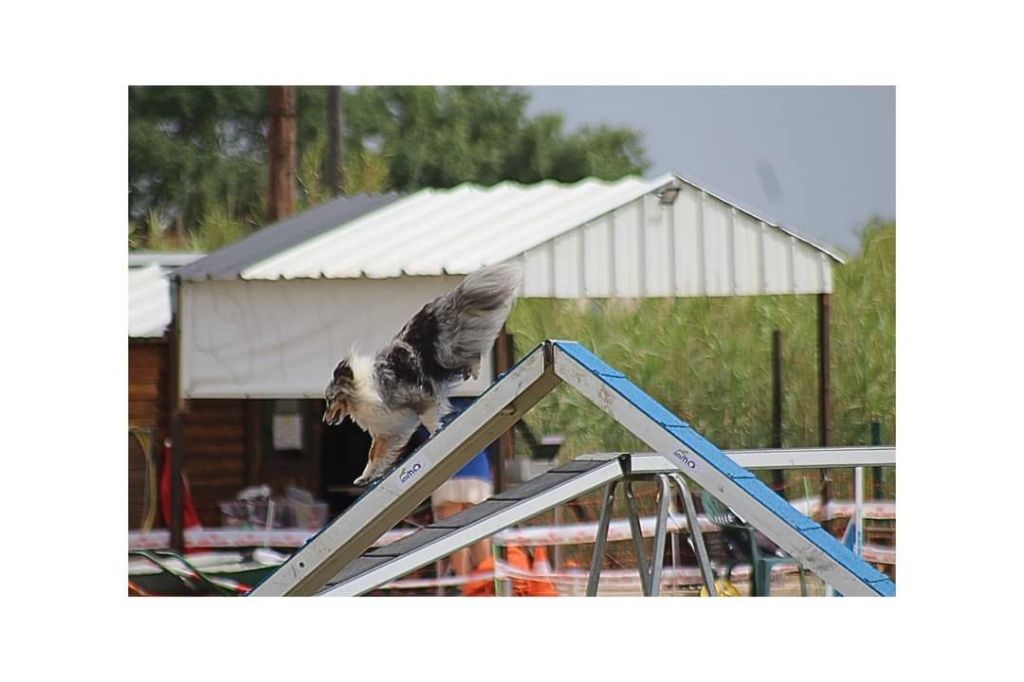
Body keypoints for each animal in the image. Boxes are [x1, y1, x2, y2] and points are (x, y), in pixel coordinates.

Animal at [323, 260, 524, 483]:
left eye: (330, 400)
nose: (325, 420)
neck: (361, 390)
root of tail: (437, 306)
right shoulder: (387, 429)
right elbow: (374, 454)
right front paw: (365, 477)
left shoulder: (420, 397)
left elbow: (428, 417)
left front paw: (435, 431)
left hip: (446, 352)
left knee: (471, 351)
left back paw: (475, 369)